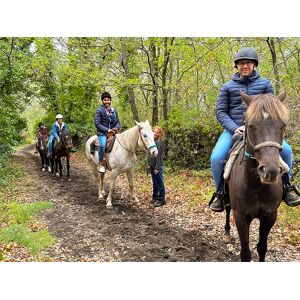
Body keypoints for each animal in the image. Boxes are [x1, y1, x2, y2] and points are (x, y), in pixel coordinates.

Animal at [225, 90, 288, 262]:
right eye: (251, 125)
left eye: (283, 125)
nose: (270, 171)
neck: (257, 186)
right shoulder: (240, 217)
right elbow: (246, 253)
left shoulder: (270, 216)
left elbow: (262, 248)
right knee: (226, 208)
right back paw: (226, 232)